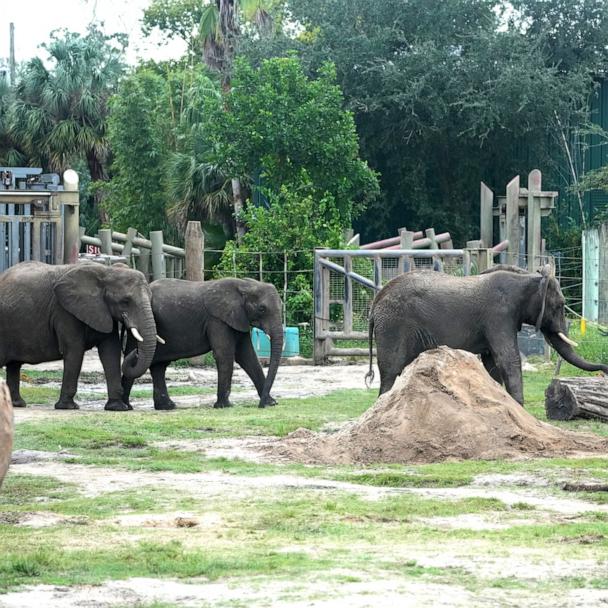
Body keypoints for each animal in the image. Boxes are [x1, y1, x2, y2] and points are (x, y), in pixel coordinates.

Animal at [0, 258, 157, 410]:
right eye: (125, 301)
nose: (135, 353)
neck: (107, 271)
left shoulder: (103, 310)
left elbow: (110, 351)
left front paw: (117, 407)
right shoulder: (64, 311)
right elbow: (75, 349)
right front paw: (67, 407)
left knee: (14, 365)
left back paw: (17, 404)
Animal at [122, 278, 286, 410]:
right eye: (262, 309)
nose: (260, 406)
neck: (245, 284)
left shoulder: (238, 319)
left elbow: (248, 357)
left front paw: (271, 403)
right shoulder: (217, 319)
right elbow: (225, 355)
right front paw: (224, 406)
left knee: (159, 366)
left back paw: (167, 407)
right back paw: (125, 406)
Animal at [366, 264, 608, 404]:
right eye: (560, 305)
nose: (605, 370)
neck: (528, 277)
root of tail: (375, 302)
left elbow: (492, 363)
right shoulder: (498, 315)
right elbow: (508, 359)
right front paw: (519, 407)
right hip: (393, 325)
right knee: (391, 370)